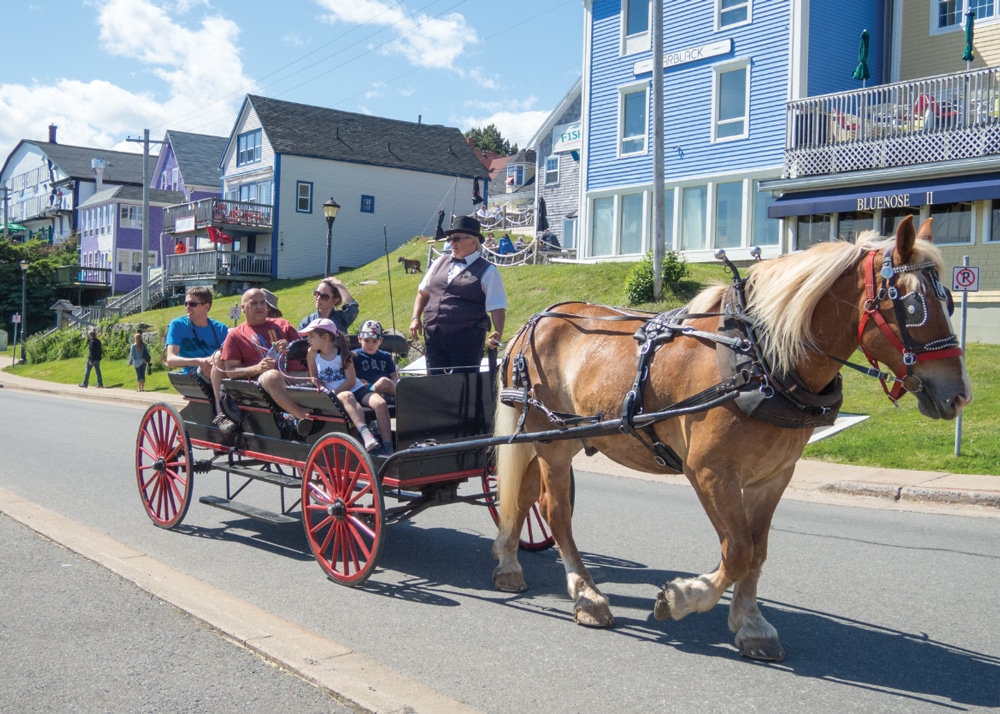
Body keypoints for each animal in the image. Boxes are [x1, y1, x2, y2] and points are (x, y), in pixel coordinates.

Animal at [492, 214, 968, 660]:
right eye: (913, 306)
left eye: (947, 299)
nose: (959, 395)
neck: (759, 359)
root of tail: (532, 323)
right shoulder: (710, 473)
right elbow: (736, 550)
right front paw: (681, 598)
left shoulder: (772, 477)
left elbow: (756, 552)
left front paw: (751, 623)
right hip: (553, 442)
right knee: (555, 511)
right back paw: (587, 595)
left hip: (551, 440)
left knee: (521, 494)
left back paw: (509, 564)